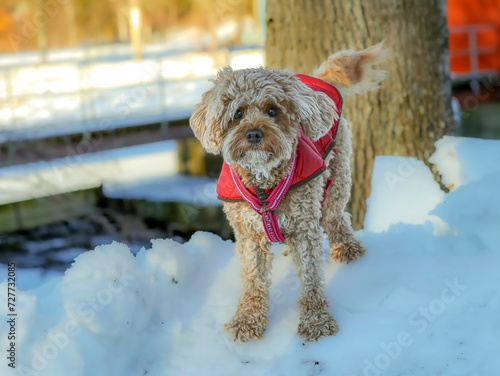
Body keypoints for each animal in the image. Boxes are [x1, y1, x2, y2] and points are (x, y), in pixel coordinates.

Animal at [189, 42, 388, 342]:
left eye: (273, 110)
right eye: (238, 113)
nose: (254, 134)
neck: (264, 183)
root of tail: (313, 81)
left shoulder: (305, 228)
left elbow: (311, 280)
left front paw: (317, 322)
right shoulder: (248, 234)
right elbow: (253, 281)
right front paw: (247, 321)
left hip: (337, 177)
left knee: (335, 217)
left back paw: (347, 249)